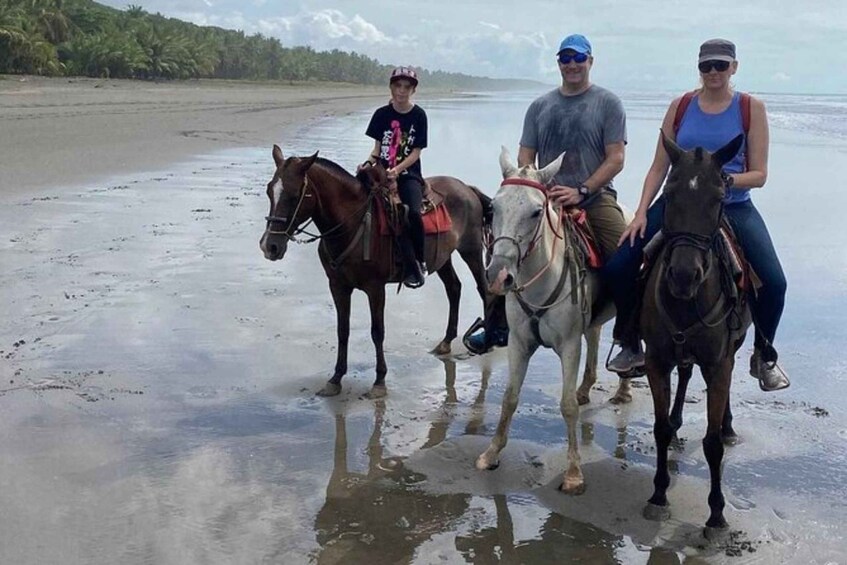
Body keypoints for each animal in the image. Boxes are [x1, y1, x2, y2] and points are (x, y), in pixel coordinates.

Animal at [258, 147, 490, 396]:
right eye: (269, 192)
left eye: (294, 195)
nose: (269, 246)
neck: (352, 223)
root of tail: (466, 188)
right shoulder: (338, 286)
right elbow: (342, 330)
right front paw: (336, 378)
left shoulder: (375, 288)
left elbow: (377, 332)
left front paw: (379, 381)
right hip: (442, 257)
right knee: (454, 288)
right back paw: (446, 342)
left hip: (471, 249)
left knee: (484, 289)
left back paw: (487, 341)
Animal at [476, 147, 628, 494]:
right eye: (492, 208)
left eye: (535, 212)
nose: (499, 276)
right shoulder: (519, 343)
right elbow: (509, 398)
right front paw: (491, 453)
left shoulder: (569, 345)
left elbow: (567, 405)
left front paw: (573, 473)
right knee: (595, 337)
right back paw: (587, 388)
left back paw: (624, 390)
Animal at [640, 132, 752, 536]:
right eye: (669, 193)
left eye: (718, 198)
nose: (684, 276)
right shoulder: (657, 360)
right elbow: (658, 428)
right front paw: (658, 494)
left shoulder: (719, 364)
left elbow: (713, 443)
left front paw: (716, 514)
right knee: (686, 374)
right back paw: (676, 425)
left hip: (732, 351)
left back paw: (730, 425)